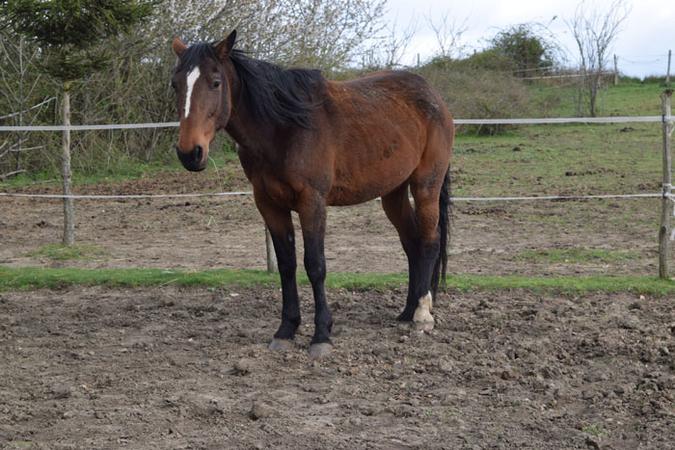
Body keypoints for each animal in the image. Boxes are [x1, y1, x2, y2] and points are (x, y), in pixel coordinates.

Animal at [172, 30, 454, 358]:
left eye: (215, 82)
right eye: (176, 83)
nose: (190, 153)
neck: (284, 128)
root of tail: (434, 98)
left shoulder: (312, 202)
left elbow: (315, 265)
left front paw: (321, 335)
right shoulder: (269, 204)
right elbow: (286, 265)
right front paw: (286, 330)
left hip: (425, 185)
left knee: (429, 241)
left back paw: (422, 314)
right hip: (393, 193)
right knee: (411, 243)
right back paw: (407, 312)